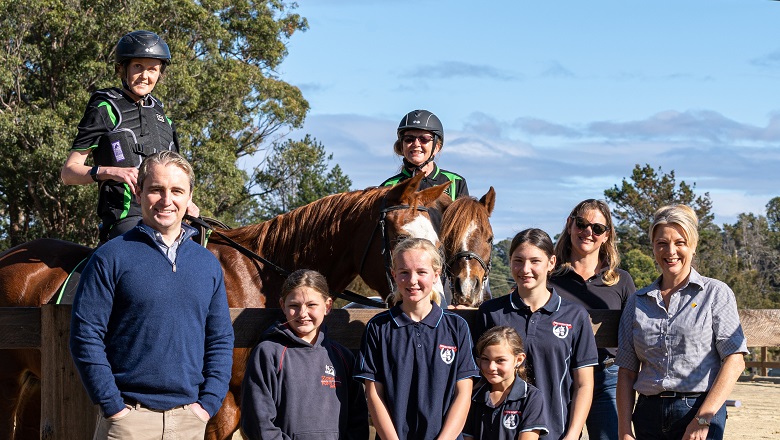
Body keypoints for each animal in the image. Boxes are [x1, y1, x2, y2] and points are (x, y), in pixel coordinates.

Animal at [0, 174, 444, 440]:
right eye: (399, 236)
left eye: (435, 239)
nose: (434, 298)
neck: (254, 280)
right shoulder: (220, 406)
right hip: (9, 383)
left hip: (36, 382)